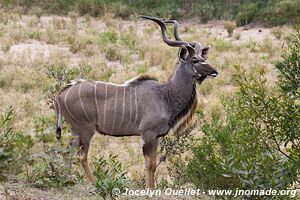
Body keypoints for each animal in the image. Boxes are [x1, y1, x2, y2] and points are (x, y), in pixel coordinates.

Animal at [54, 16, 218, 189]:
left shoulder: (157, 136)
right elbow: (149, 163)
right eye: (194, 60)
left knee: (68, 152)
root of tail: (62, 93)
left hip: (75, 130)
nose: (215, 72)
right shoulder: (147, 133)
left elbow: (153, 163)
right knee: (81, 156)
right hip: (86, 129)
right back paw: (95, 183)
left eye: (204, 58)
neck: (165, 95)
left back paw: (65, 180)